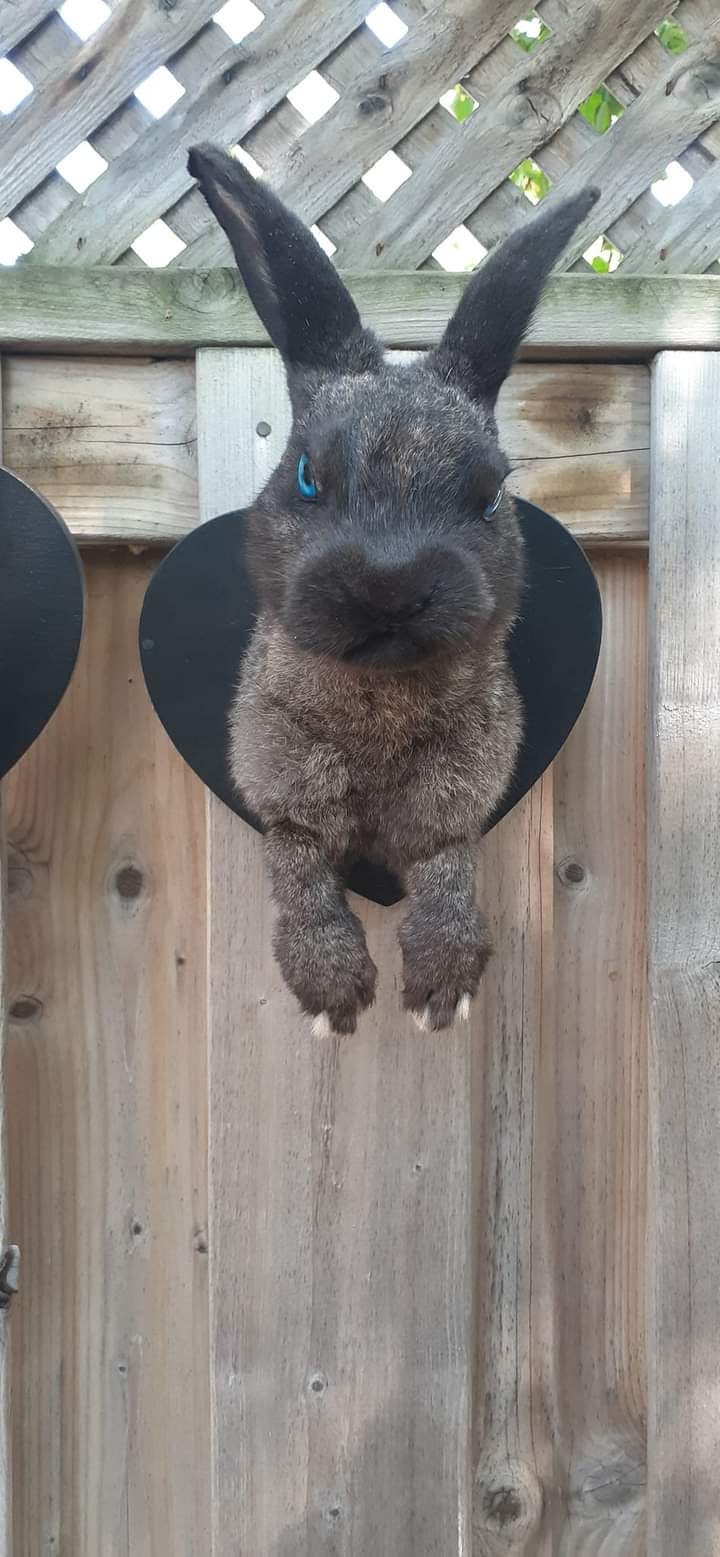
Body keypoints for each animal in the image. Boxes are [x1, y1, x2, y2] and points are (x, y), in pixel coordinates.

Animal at [188, 143, 598, 1036]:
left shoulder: (455, 804)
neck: (377, 704)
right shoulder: (286, 802)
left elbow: (448, 871)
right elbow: (299, 875)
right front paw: (334, 996)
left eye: (489, 494)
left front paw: (441, 992)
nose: (389, 585)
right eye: (308, 475)